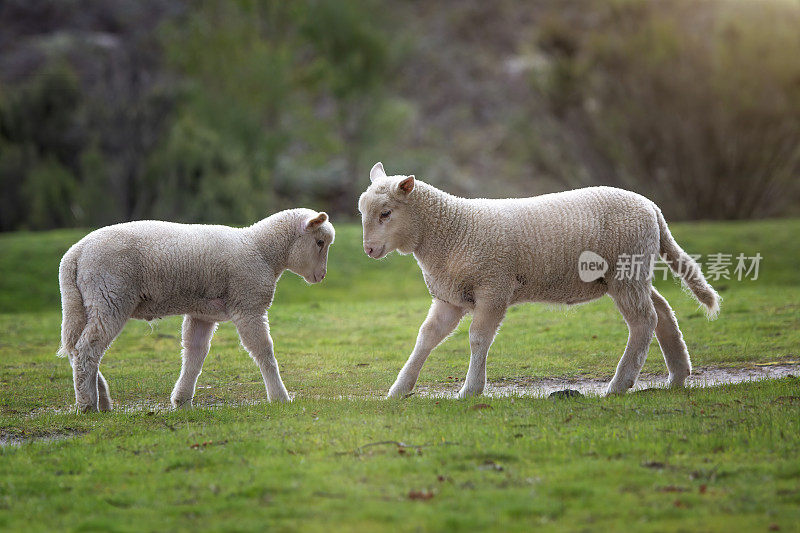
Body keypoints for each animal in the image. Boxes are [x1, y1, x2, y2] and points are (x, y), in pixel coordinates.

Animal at [58, 208, 334, 412]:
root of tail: (74, 254)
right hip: (109, 297)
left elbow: (195, 353)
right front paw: (280, 397)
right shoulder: (248, 305)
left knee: (75, 348)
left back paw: (101, 398)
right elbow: (264, 351)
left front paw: (182, 400)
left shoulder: (203, 313)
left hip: (81, 302)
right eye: (320, 242)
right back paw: (87, 405)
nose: (322, 276)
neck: (261, 250)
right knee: (87, 349)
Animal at [360, 162, 720, 400]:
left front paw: (470, 389)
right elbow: (426, 337)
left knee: (644, 321)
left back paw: (620, 384)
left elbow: (478, 338)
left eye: (386, 213)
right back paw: (677, 375)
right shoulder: (449, 297)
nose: (369, 249)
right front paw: (399, 390)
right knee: (663, 312)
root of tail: (652, 207)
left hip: (626, 270)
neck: (452, 230)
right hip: (631, 272)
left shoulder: (494, 286)